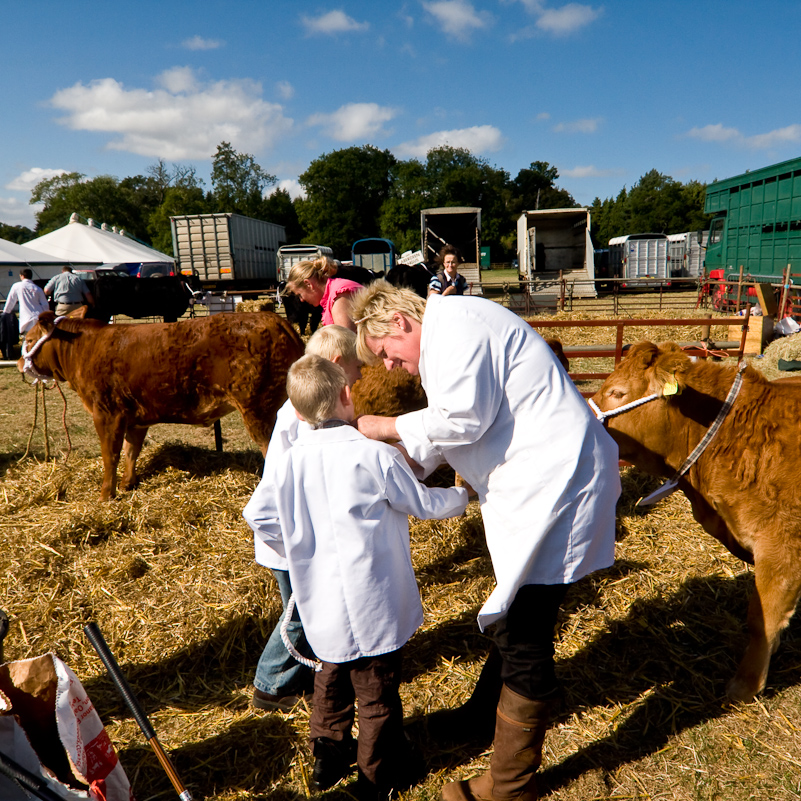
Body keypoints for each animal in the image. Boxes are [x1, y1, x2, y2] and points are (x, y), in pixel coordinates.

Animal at [21, 310, 304, 496]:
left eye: (29, 339)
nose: (20, 361)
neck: (84, 349)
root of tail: (275, 320)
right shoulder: (134, 416)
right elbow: (131, 450)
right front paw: (127, 483)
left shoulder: (106, 413)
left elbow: (110, 455)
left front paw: (105, 495)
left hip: (259, 410)